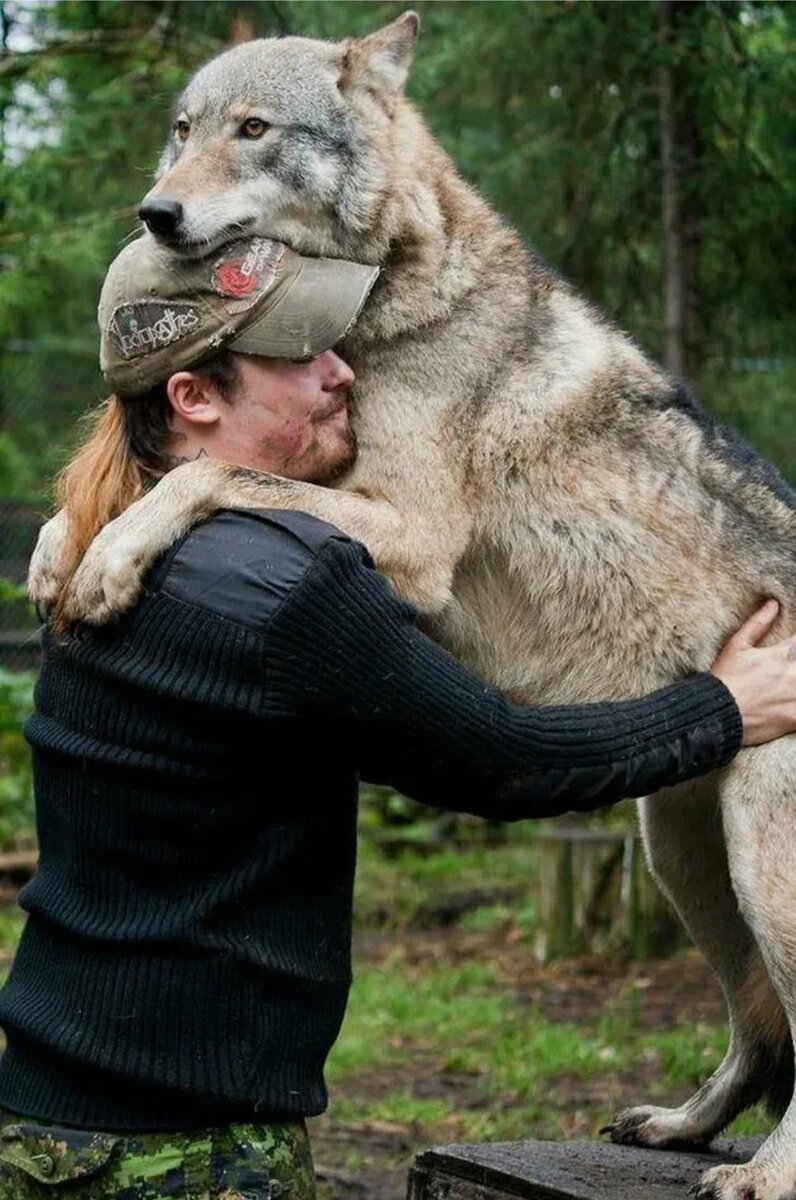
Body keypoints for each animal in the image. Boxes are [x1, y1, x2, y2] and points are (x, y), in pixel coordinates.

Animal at [28, 11, 796, 1200]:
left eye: (255, 131)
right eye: (184, 129)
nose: (156, 212)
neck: (392, 300)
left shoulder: (413, 537)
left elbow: (211, 476)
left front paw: (111, 557)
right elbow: (128, 497)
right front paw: (61, 552)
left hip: (758, 861)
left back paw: (764, 1172)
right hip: (682, 856)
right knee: (759, 1030)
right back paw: (680, 1128)